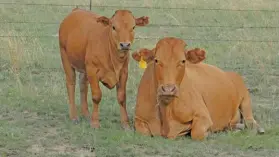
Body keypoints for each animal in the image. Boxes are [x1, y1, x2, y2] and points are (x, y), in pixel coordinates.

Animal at [132, 37, 266, 140]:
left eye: (183, 61)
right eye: (156, 60)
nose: (168, 89)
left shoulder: (203, 115)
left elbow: (196, 133)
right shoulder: (139, 119)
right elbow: (143, 133)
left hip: (245, 98)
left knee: (250, 120)